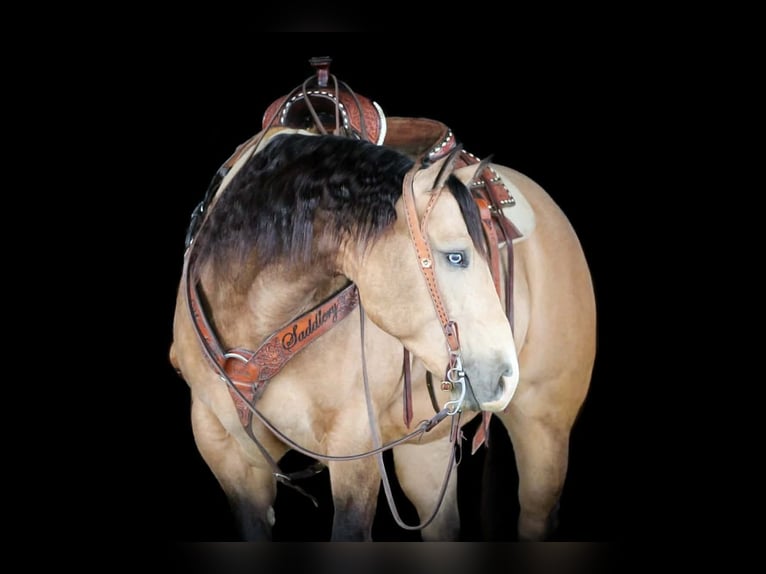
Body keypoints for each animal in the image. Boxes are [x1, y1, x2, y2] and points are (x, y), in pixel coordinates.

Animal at [169, 61, 596, 541]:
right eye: (456, 256)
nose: (506, 374)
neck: (254, 317)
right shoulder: (226, 452)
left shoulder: (354, 447)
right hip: (426, 450)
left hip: (544, 428)